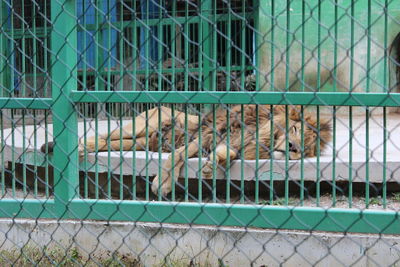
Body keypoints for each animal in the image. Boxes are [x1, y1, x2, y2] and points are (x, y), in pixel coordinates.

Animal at [65, 104, 332, 197]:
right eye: (295, 128)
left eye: (306, 149)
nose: (292, 147)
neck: (260, 138)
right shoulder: (208, 134)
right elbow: (178, 154)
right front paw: (162, 184)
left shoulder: (231, 144)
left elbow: (227, 154)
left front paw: (212, 165)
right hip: (142, 126)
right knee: (105, 135)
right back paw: (78, 146)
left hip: (141, 142)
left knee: (107, 143)